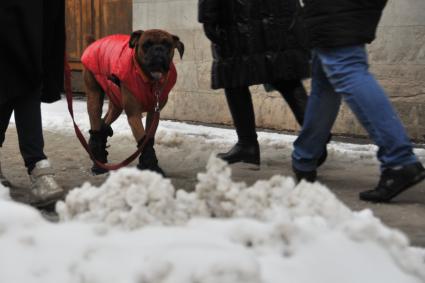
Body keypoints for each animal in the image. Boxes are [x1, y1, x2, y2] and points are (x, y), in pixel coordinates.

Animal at [81, 28, 184, 175]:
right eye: (146, 44)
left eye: (167, 45)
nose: (158, 49)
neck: (150, 80)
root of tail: (94, 43)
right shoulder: (134, 115)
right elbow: (143, 140)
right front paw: (151, 165)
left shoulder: (154, 114)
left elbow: (148, 139)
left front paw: (146, 164)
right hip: (94, 97)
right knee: (96, 122)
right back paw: (98, 162)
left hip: (116, 103)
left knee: (104, 122)